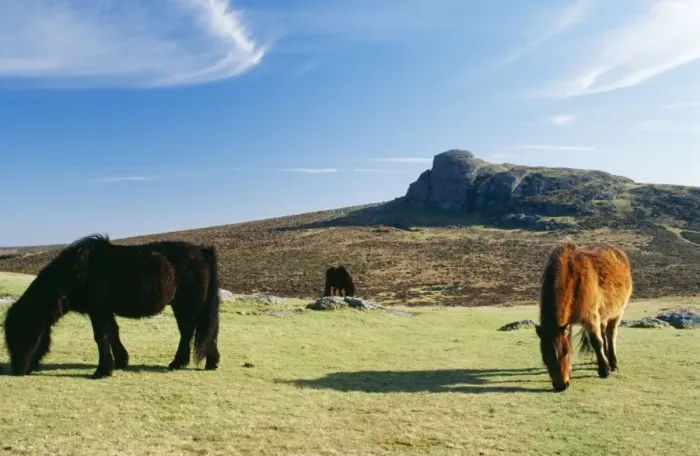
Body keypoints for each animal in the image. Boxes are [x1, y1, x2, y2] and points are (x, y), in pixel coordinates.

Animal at [3, 234, 221, 379]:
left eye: (21, 334)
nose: (17, 371)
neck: (77, 273)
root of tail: (203, 251)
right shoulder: (105, 311)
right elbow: (113, 334)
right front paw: (121, 362)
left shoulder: (98, 311)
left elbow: (101, 337)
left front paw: (102, 371)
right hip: (180, 305)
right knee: (189, 331)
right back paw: (182, 363)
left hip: (191, 304)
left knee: (202, 330)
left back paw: (206, 362)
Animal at [535, 242, 633, 392]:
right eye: (544, 356)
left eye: (565, 352)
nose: (561, 386)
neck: (574, 278)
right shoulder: (568, 323)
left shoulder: (590, 318)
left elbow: (596, 342)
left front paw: (604, 370)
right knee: (604, 335)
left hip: (617, 313)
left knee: (610, 335)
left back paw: (612, 363)